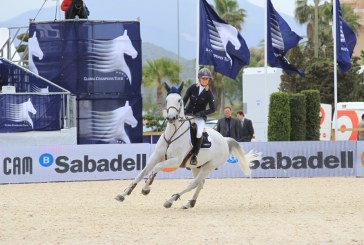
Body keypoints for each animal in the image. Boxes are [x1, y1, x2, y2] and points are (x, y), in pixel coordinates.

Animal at [115, 82, 260, 209]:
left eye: (179, 100)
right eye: (167, 100)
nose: (171, 118)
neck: (173, 134)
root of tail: (225, 140)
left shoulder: (175, 161)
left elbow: (157, 167)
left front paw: (146, 188)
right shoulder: (156, 156)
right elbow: (142, 172)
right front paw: (124, 194)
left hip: (209, 166)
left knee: (194, 183)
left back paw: (171, 200)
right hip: (197, 166)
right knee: (200, 183)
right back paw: (189, 203)